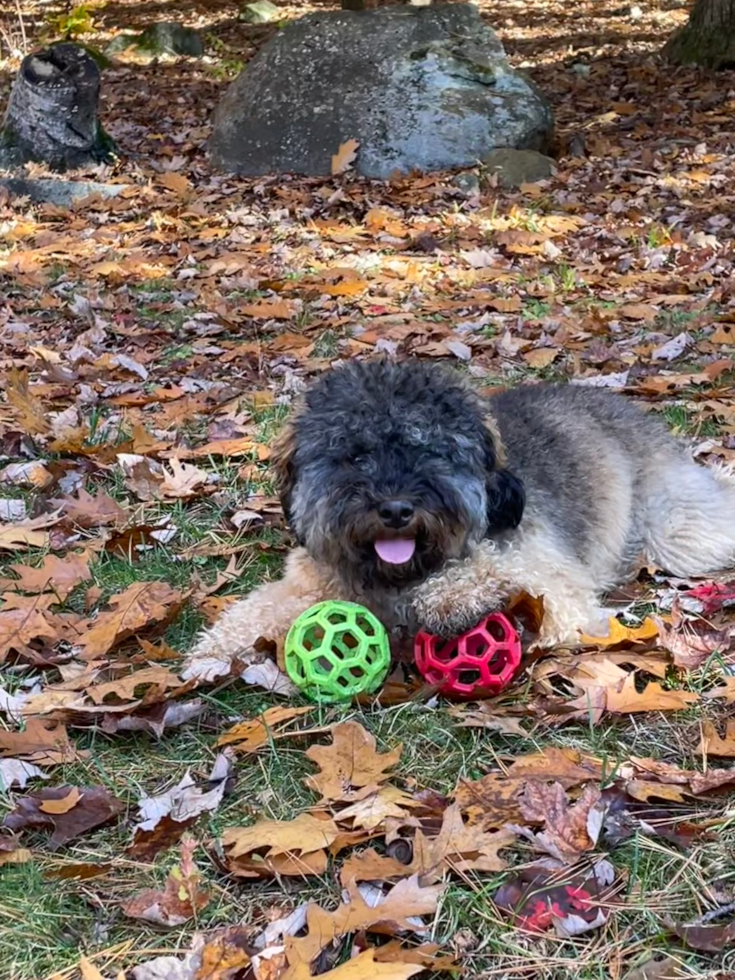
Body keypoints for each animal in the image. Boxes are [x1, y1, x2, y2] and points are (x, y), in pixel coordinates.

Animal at [181, 358, 735, 680]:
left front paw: (451, 598)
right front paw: (213, 652)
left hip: (674, 529)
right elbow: (255, 609)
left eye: (431, 451)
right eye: (356, 454)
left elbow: (504, 574)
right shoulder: (311, 583)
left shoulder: (555, 586)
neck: (397, 579)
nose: (396, 509)